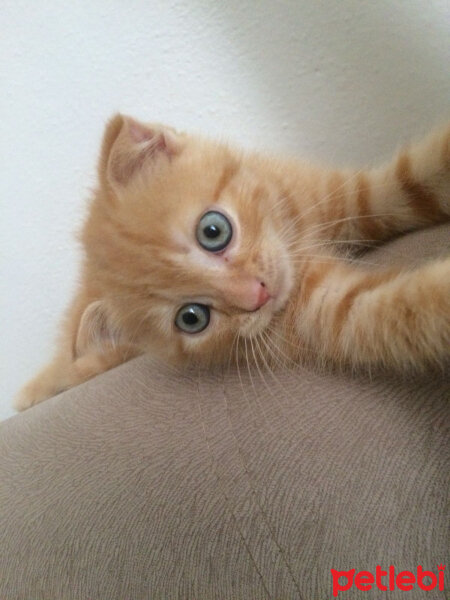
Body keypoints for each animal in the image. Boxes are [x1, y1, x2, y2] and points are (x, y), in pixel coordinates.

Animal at [14, 115, 450, 410]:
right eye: (192, 318)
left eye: (213, 231)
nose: (257, 294)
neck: (295, 236)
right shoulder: (329, 311)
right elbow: (398, 309)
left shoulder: (339, 193)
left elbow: (412, 177)